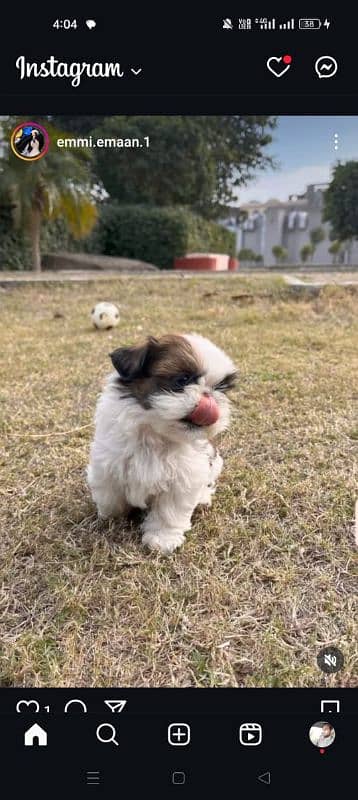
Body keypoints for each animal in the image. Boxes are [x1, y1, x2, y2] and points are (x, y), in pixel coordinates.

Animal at [87, 334, 238, 552]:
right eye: (182, 380)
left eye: (220, 388)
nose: (209, 395)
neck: (155, 434)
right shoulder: (106, 463)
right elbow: (109, 496)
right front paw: (110, 517)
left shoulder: (185, 477)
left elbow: (170, 511)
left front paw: (162, 538)